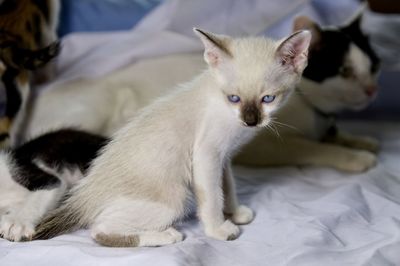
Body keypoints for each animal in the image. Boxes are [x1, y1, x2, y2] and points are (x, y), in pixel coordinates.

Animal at [32, 28, 310, 246]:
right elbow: (212, 198)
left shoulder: (223, 159)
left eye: (268, 99)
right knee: (99, 230)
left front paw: (235, 213)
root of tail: (84, 195)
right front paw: (219, 230)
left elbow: (227, 187)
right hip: (176, 199)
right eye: (234, 98)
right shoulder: (206, 156)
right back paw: (167, 236)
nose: (250, 121)